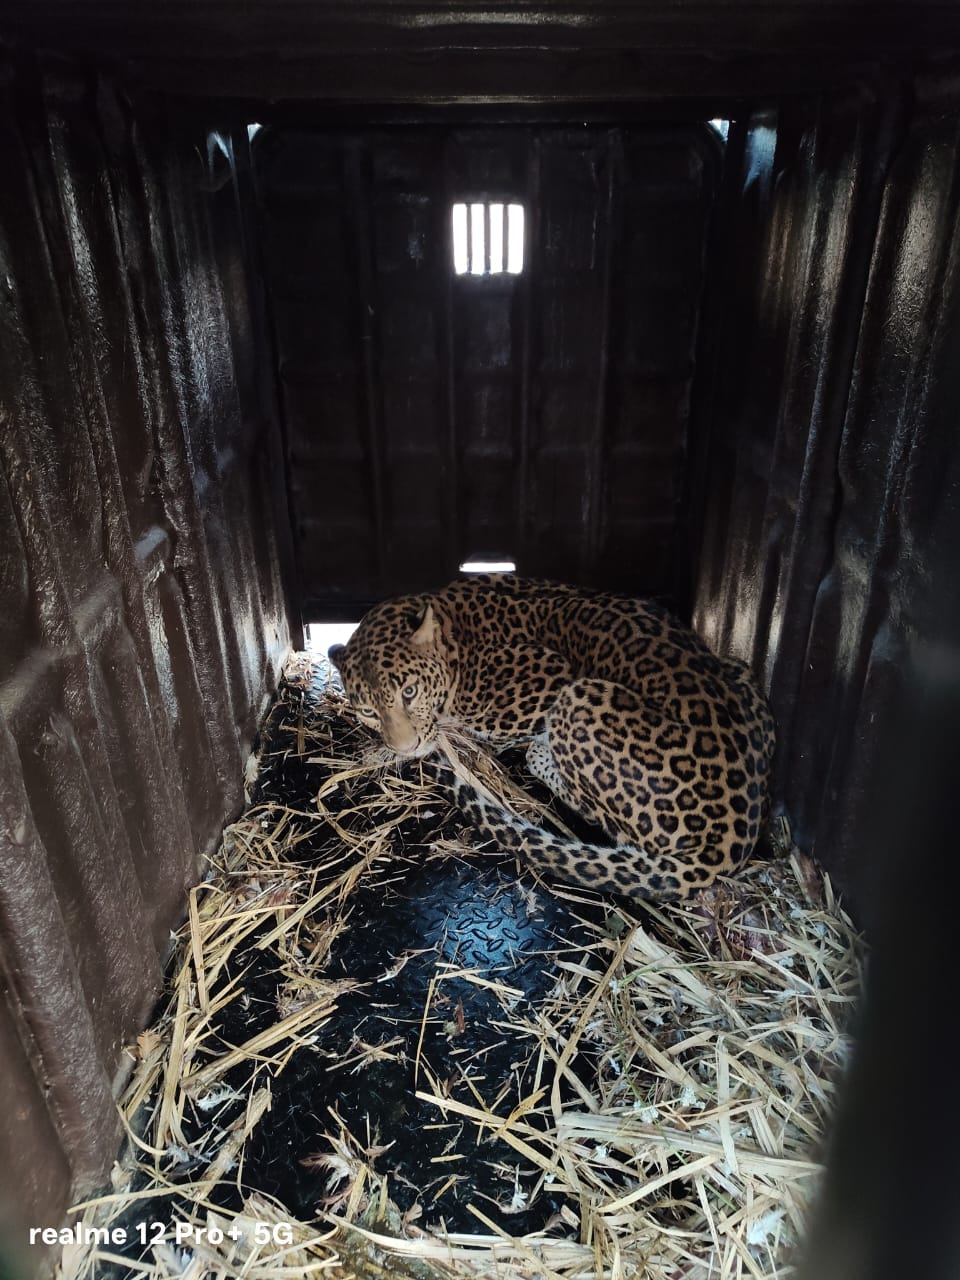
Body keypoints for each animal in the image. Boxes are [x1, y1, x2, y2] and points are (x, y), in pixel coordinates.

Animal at [328, 574, 775, 902]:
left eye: (409, 692)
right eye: (367, 711)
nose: (406, 748)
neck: (455, 635)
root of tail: (732, 837)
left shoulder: (550, 677)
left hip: (580, 697)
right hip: (736, 668)